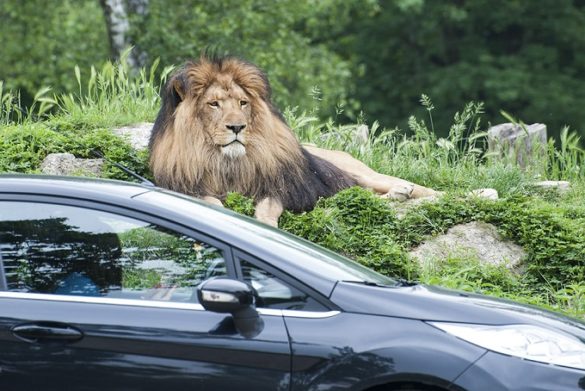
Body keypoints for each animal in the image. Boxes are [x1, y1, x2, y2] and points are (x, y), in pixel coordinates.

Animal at [148, 55, 436, 227]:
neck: (227, 162)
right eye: (214, 104)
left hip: (359, 172)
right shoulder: (187, 188)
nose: (237, 127)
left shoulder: (277, 188)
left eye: (243, 103)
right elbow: (212, 203)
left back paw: (412, 191)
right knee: (354, 199)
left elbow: (267, 209)